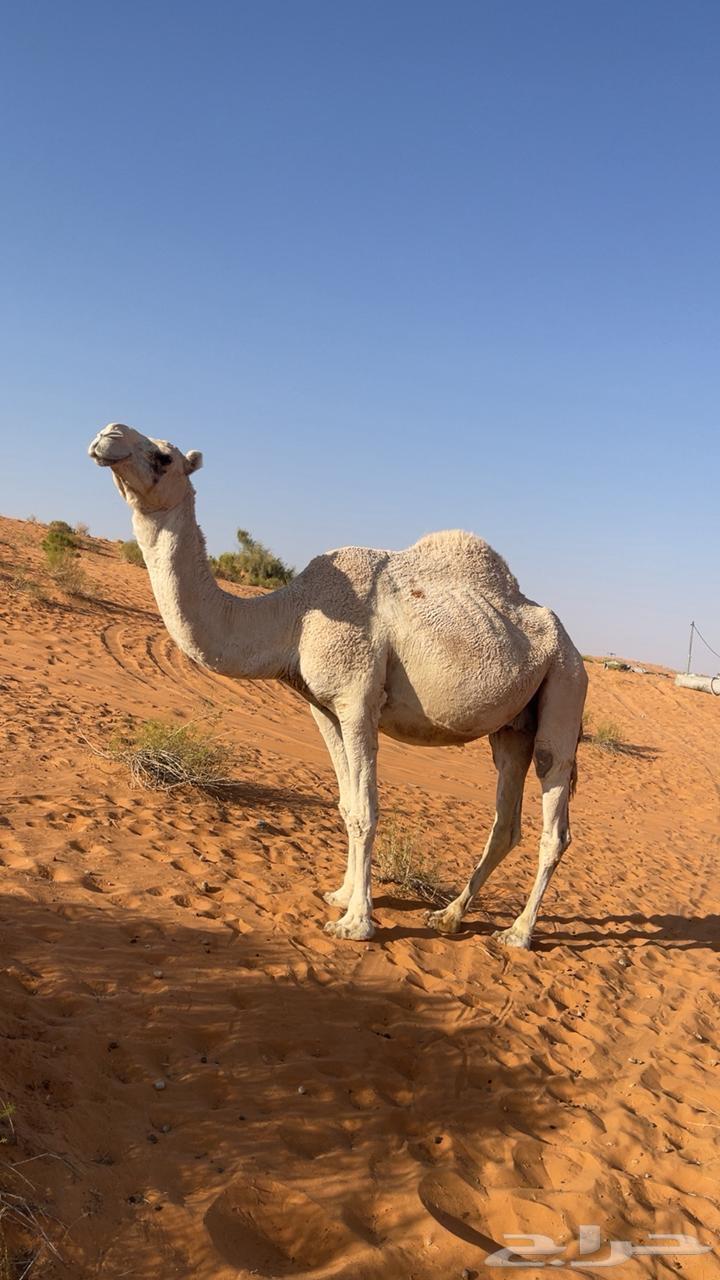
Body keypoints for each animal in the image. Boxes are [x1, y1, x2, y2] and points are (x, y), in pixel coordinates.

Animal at [88, 422, 588, 947]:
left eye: (164, 457)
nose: (108, 434)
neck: (293, 616)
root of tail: (572, 645)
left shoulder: (357, 699)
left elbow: (367, 810)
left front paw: (356, 923)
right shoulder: (322, 706)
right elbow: (348, 805)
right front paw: (341, 895)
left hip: (565, 683)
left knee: (554, 811)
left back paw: (518, 933)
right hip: (513, 725)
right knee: (505, 817)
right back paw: (449, 916)